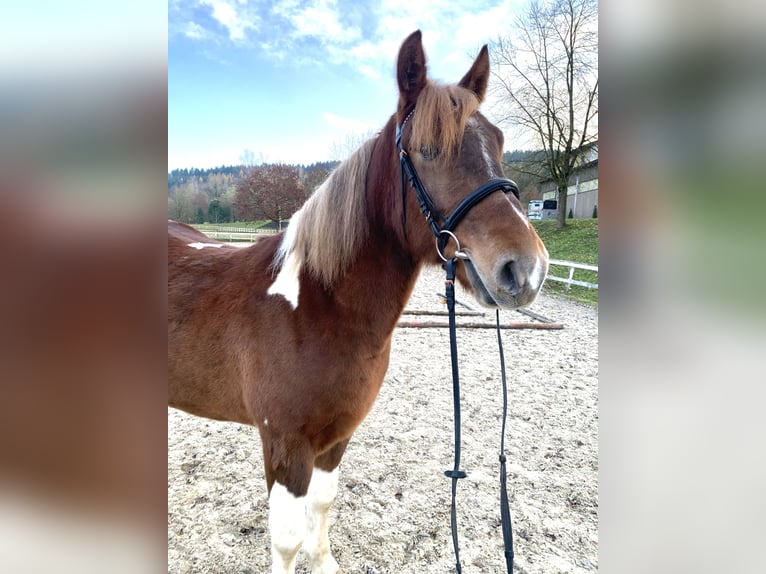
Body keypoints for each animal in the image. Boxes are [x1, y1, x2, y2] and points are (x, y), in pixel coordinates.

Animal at [168, 30, 549, 574]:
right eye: (427, 149)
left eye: (498, 143)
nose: (525, 269)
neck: (317, 308)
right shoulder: (285, 446)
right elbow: (286, 539)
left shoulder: (337, 437)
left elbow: (324, 504)